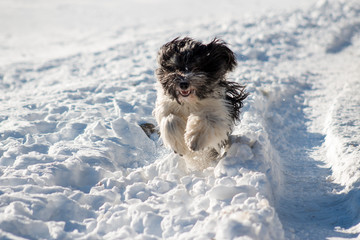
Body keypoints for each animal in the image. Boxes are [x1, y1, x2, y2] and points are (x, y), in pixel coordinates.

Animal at [152, 37, 248, 169]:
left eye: (196, 68)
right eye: (176, 68)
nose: (183, 83)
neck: (189, 101)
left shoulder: (218, 110)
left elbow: (205, 120)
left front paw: (193, 141)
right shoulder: (166, 107)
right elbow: (169, 120)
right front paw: (180, 146)